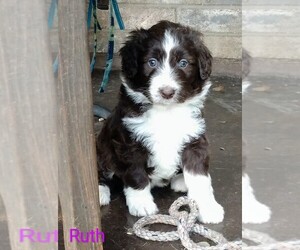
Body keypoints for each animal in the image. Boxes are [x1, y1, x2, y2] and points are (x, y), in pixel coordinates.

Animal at [97, 20, 224, 223]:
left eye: (183, 63)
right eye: (152, 62)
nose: (167, 92)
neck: (167, 112)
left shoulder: (195, 140)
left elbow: (200, 179)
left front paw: (208, 207)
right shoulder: (129, 143)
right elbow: (136, 174)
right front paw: (141, 203)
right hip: (103, 144)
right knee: (102, 168)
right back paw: (100, 192)